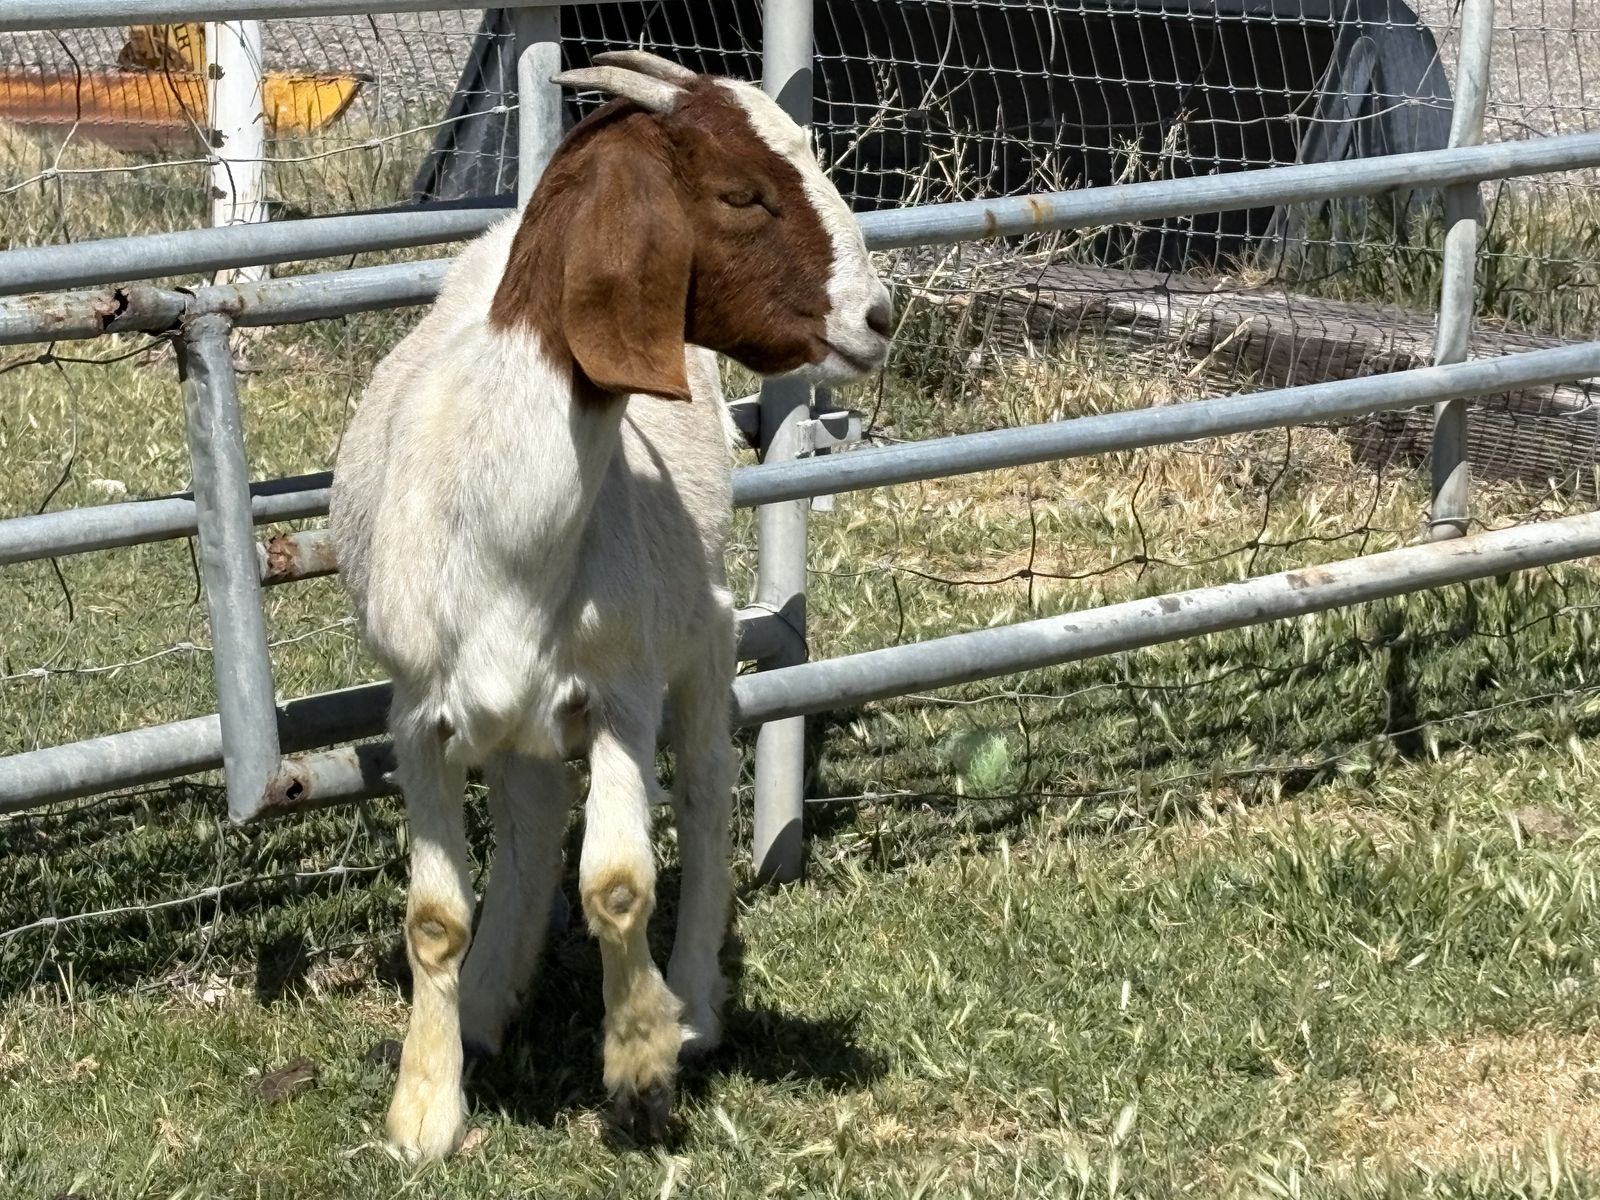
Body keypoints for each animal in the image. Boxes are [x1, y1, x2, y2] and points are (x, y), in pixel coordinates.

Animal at [331, 51, 893, 1160]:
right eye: (742, 194)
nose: (879, 316)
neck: (504, 520)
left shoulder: (622, 694)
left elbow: (619, 883)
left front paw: (639, 1068)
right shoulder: (418, 712)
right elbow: (434, 917)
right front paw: (425, 1106)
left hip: (703, 637)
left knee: (709, 798)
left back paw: (694, 1006)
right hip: (517, 713)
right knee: (534, 813)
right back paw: (487, 1005)